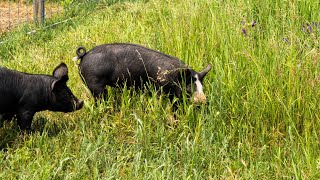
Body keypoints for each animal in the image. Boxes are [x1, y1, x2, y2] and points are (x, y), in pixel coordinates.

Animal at [74, 43, 211, 103]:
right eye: (189, 89)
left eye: (202, 87)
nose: (203, 101)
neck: (173, 77)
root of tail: (84, 55)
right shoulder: (158, 88)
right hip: (95, 84)